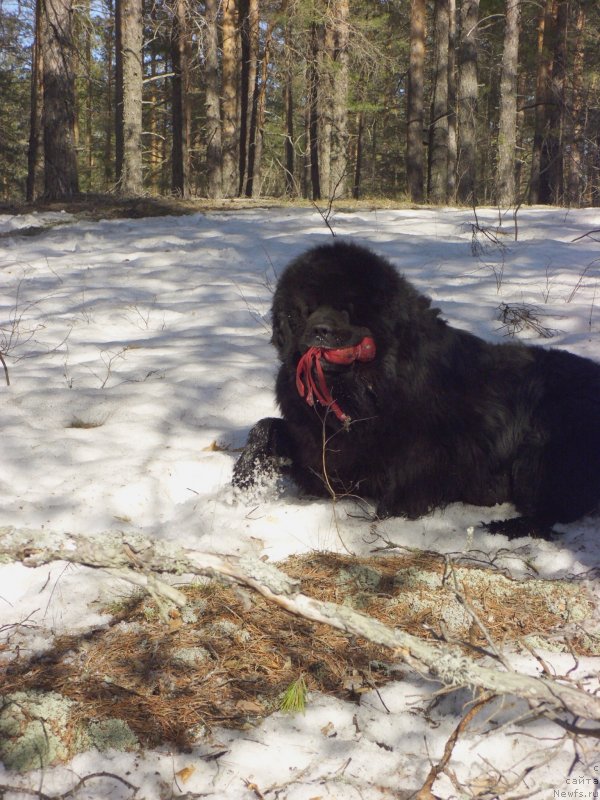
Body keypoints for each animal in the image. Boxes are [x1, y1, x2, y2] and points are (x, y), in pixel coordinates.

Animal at [232, 242, 600, 532]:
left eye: (347, 310)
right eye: (305, 310)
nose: (320, 331)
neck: (361, 391)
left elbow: (406, 482)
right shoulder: (319, 446)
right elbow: (266, 428)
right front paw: (245, 480)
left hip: (542, 450)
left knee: (552, 510)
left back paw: (504, 527)